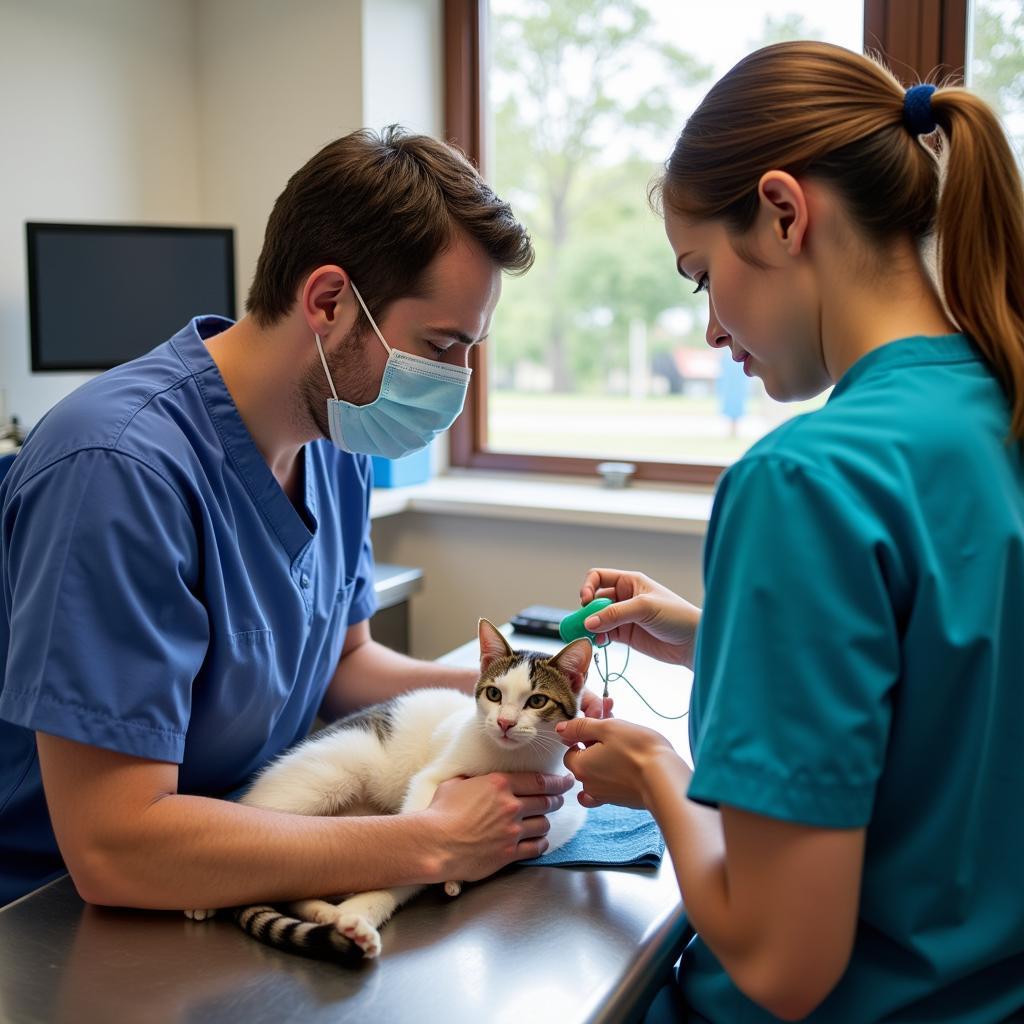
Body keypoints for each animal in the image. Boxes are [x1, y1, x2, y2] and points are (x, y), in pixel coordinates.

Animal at [184, 618, 593, 962]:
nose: (505, 723)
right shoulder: (430, 780)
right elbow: (416, 841)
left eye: (537, 700)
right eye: (494, 694)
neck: (510, 761)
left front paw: (364, 912)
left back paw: (328, 914)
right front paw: (359, 913)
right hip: (321, 784)